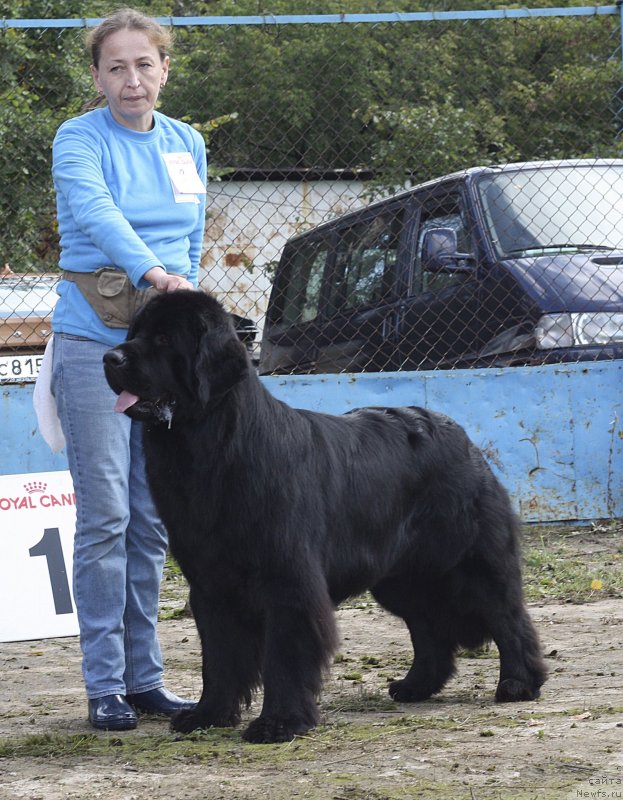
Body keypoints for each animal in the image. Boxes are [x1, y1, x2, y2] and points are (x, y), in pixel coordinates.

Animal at [105, 290, 548, 748]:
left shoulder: (288, 580)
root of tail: (461, 436)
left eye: (162, 340)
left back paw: (518, 683)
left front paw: (279, 723)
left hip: (469, 561)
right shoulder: (210, 582)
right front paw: (207, 714)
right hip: (400, 578)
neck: (208, 449)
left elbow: (284, 655)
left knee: (508, 617)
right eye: (134, 333)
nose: (109, 357)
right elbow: (221, 656)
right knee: (430, 628)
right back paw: (416, 685)